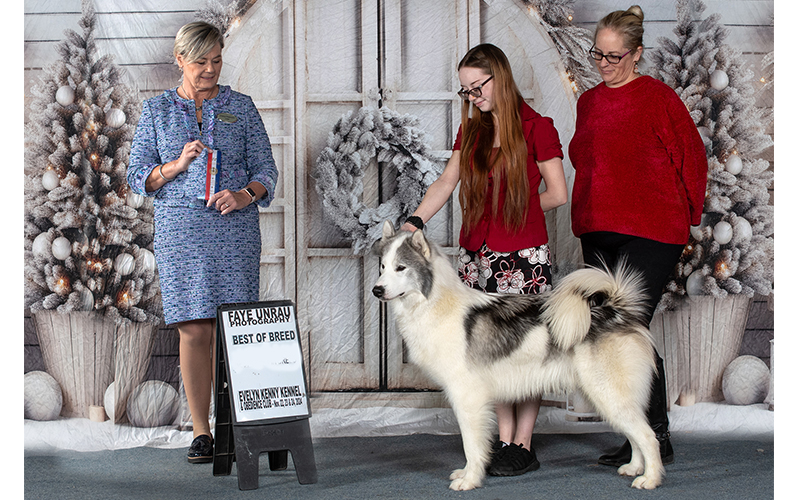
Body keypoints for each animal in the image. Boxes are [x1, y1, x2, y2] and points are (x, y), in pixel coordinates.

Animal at [372, 224, 664, 492]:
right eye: (383, 267)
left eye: (401, 268)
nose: (376, 290)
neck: (434, 303)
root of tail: (615, 311)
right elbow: (474, 445)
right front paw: (467, 473)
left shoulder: (468, 398)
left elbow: (471, 445)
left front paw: (470, 480)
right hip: (611, 398)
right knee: (636, 435)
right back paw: (633, 467)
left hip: (609, 395)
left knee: (648, 436)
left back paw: (650, 479)